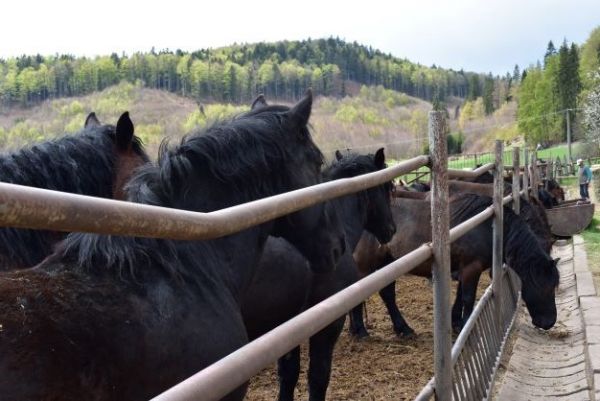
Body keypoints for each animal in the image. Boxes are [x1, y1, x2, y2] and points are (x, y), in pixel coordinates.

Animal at [241, 148, 396, 400]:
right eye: (387, 187)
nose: (390, 230)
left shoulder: (289, 328)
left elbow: (288, 375)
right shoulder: (328, 324)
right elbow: (318, 377)